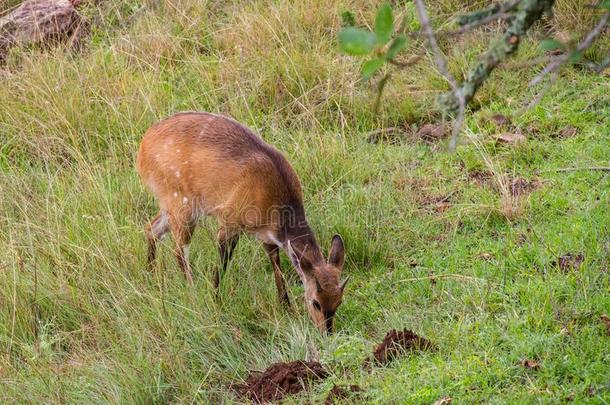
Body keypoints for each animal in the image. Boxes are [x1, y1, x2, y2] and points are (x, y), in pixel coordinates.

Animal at [136, 111, 350, 332]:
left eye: (339, 302)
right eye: (316, 302)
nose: (326, 332)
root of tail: (143, 148)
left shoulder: (267, 237)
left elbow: (277, 266)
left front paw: (285, 307)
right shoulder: (230, 222)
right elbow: (222, 263)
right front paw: (216, 301)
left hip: (172, 207)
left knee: (151, 229)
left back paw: (150, 275)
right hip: (182, 205)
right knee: (178, 251)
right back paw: (192, 291)